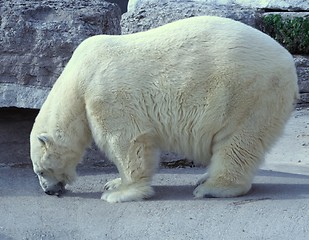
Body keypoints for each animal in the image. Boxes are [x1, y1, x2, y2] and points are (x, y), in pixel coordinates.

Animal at [30, 15, 298, 202]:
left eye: (41, 171)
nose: (49, 191)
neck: (79, 77)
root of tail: (289, 63)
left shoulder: (107, 95)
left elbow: (126, 141)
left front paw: (120, 192)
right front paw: (112, 183)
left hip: (248, 93)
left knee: (237, 142)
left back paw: (212, 188)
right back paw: (204, 178)